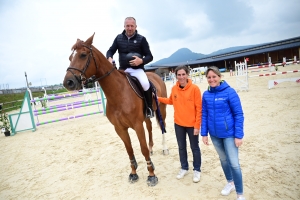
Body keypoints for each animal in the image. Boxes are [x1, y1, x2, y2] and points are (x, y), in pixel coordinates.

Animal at [62, 33, 169, 187]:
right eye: (70, 58)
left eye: (83, 55)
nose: (68, 83)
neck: (118, 93)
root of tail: (155, 75)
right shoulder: (120, 129)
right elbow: (129, 150)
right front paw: (133, 173)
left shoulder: (137, 125)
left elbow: (142, 149)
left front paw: (151, 175)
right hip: (147, 116)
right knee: (150, 128)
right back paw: (152, 148)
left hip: (162, 110)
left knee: (162, 127)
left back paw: (164, 148)